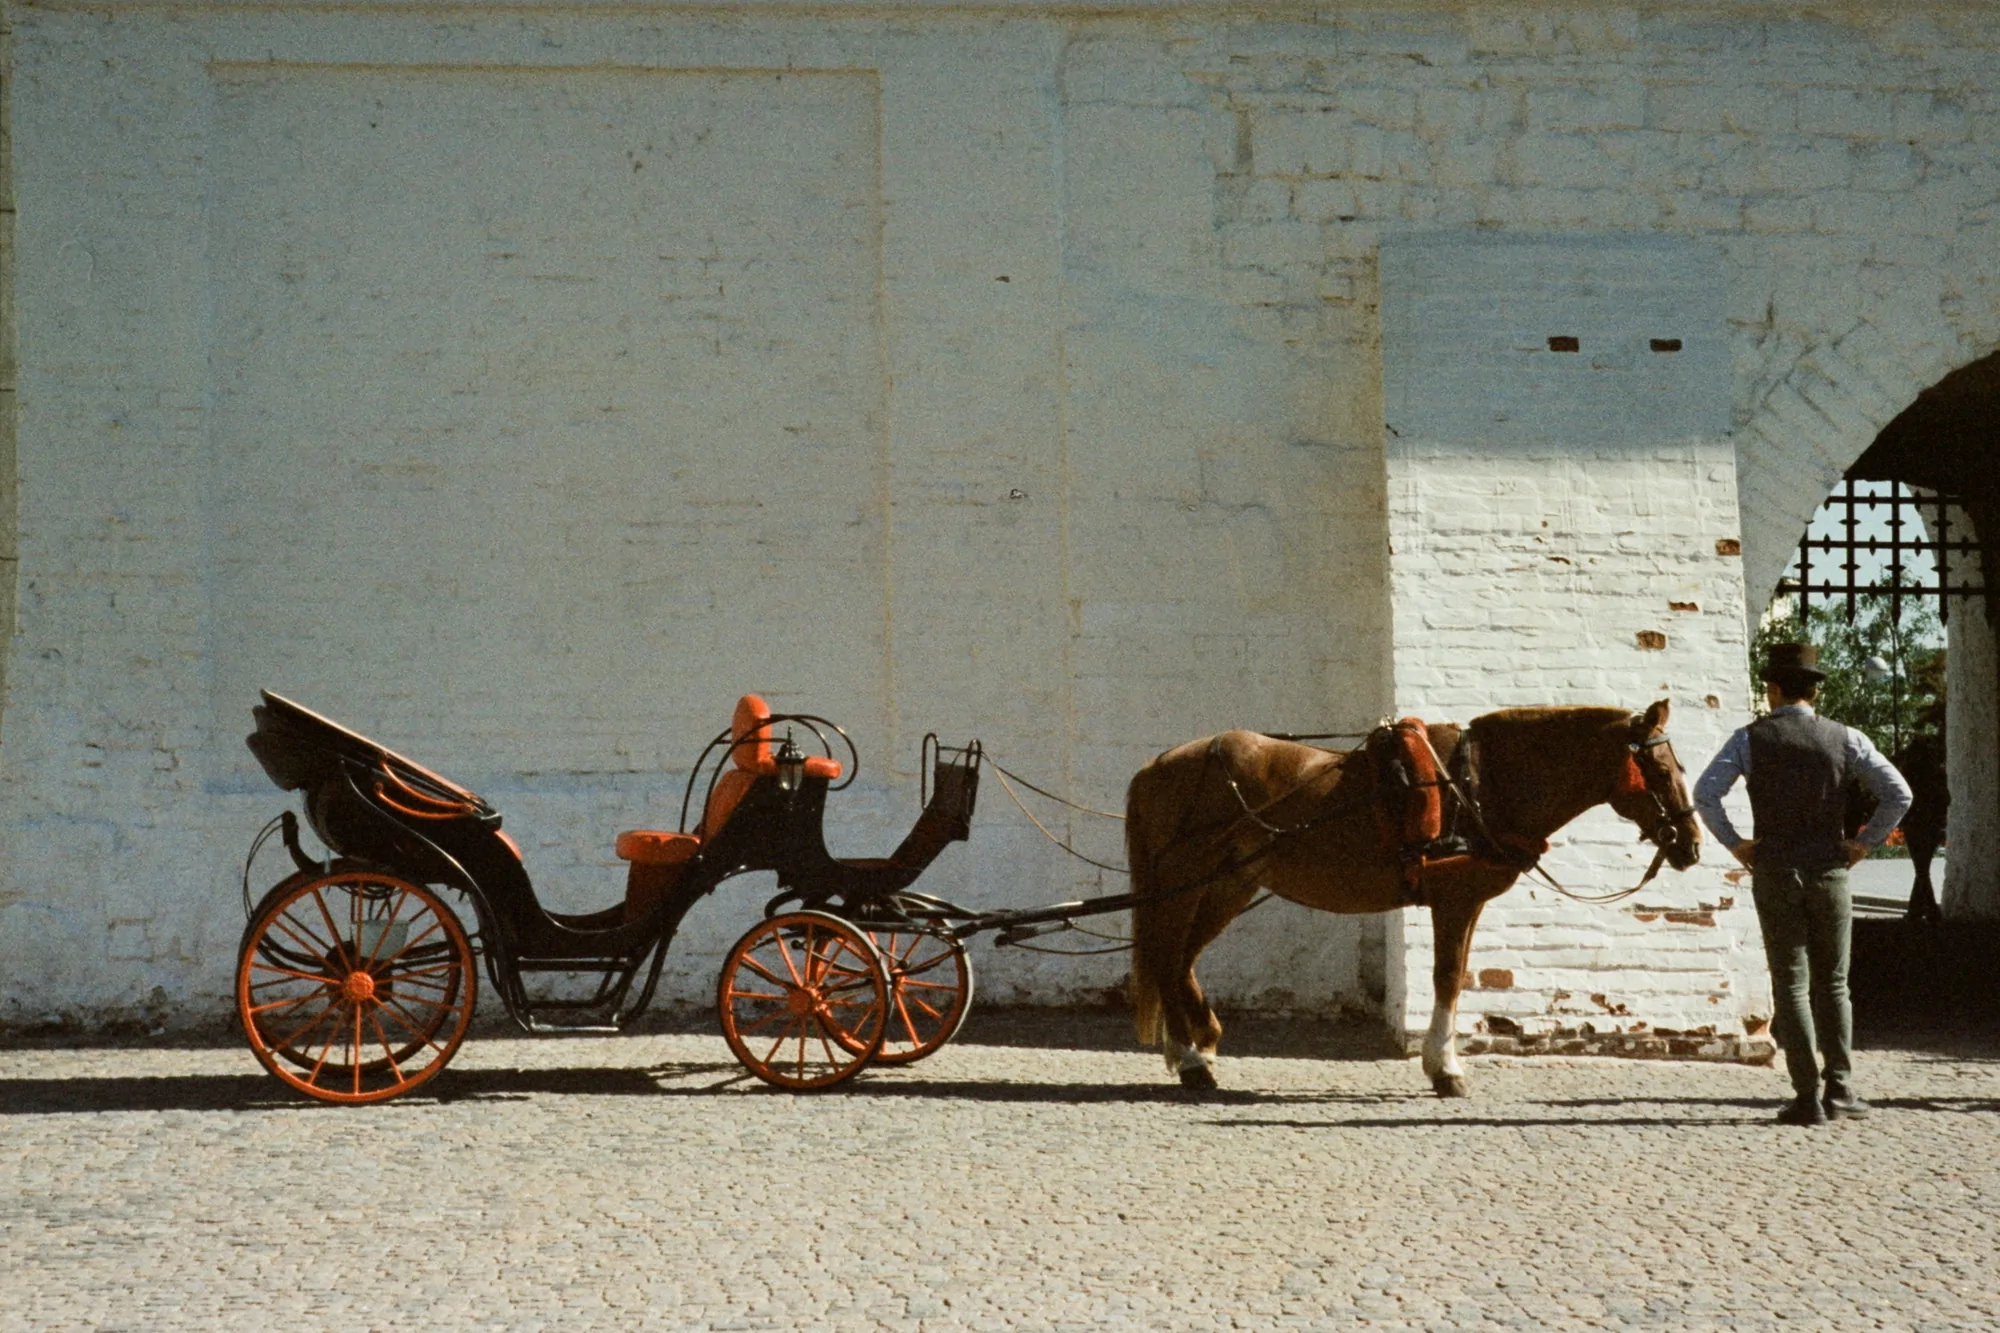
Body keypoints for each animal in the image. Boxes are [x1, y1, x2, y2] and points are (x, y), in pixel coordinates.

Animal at [1125, 701, 1701, 1097]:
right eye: (1661, 770)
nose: (1692, 844)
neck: (1478, 783)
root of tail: (1156, 765)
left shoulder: (1468, 903)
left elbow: (1457, 976)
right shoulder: (1455, 900)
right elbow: (1447, 978)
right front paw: (1444, 1069)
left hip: (1226, 884)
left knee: (1178, 960)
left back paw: (1197, 1047)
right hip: (1185, 883)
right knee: (1166, 956)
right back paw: (1191, 1060)